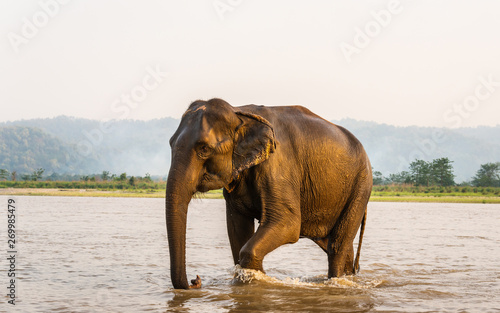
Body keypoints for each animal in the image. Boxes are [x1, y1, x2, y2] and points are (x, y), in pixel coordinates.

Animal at [166, 97, 374, 288]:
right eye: (170, 143)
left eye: (204, 148)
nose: (195, 280)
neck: (238, 112)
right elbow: (237, 230)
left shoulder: (278, 165)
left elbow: (287, 224)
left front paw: (257, 279)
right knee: (341, 247)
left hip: (361, 186)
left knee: (336, 247)